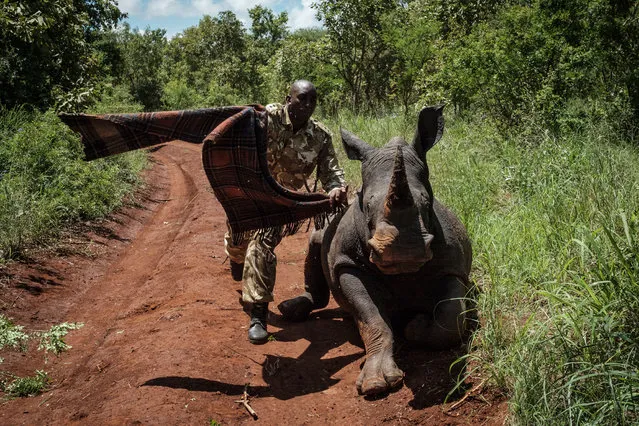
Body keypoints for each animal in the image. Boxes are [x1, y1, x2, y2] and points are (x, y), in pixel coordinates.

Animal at [280, 105, 476, 396]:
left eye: (425, 201)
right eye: (367, 203)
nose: (404, 252)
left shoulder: (452, 266)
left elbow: (450, 317)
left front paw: (415, 327)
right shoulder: (348, 264)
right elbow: (372, 319)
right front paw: (376, 383)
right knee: (315, 242)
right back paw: (290, 310)